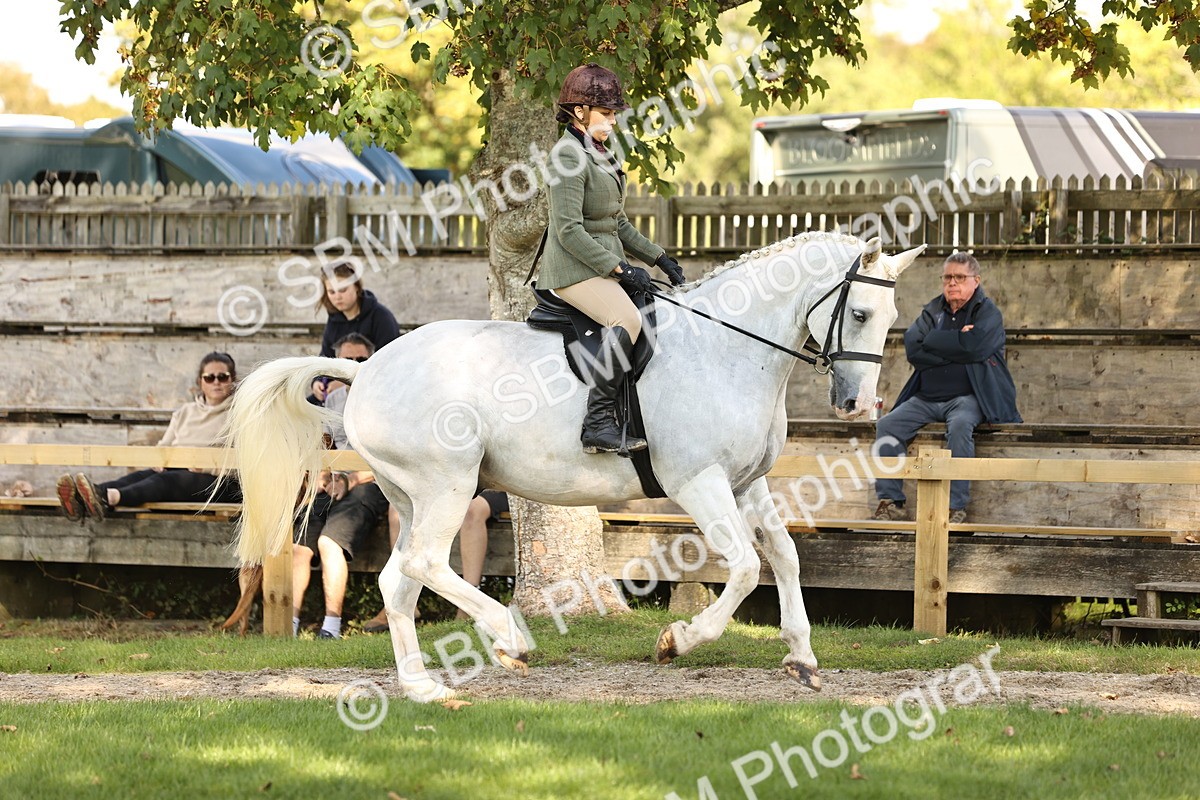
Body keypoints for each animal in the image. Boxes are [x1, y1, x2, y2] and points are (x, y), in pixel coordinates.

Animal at [228, 231, 924, 703]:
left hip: (411, 497)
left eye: (891, 317)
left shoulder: (745, 483)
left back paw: (425, 686)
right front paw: (679, 640)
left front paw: (802, 657)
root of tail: (368, 368)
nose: (858, 405)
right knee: (422, 565)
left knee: (401, 579)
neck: (725, 348)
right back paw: (507, 640)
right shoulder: (699, 482)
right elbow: (748, 567)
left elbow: (785, 557)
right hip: (447, 484)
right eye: (860, 313)